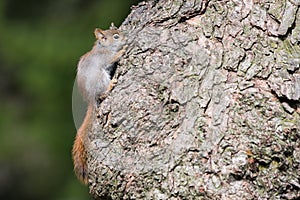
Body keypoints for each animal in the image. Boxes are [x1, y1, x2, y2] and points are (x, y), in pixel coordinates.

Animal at [72, 23, 126, 184]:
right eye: (116, 36)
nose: (126, 38)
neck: (103, 47)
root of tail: (90, 99)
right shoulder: (105, 58)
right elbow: (113, 57)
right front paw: (122, 51)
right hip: (100, 77)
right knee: (102, 93)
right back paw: (110, 86)